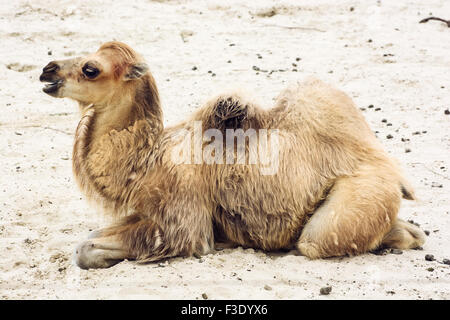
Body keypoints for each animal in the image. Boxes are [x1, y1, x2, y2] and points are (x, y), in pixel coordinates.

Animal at [39, 41, 426, 268]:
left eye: (91, 69)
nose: (47, 70)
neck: (148, 159)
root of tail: (395, 175)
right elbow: (89, 239)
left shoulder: (182, 216)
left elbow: (90, 249)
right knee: (408, 230)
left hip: (356, 196)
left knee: (318, 241)